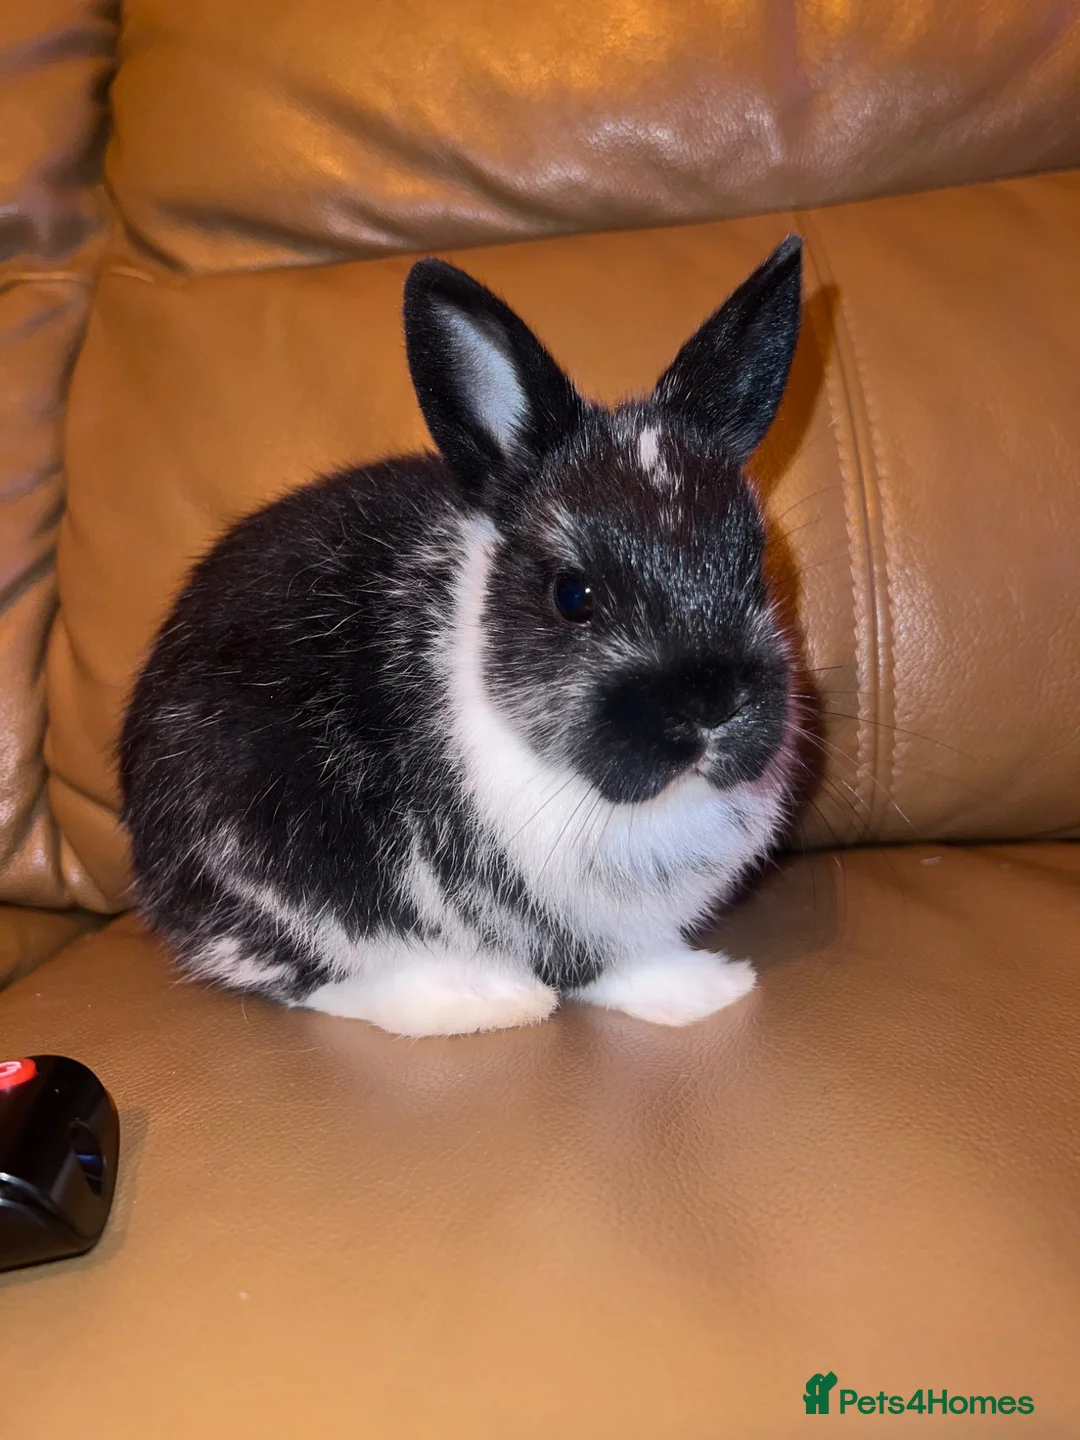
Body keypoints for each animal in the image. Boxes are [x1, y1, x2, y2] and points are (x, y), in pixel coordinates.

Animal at [119, 236, 804, 1038]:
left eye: (753, 563)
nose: (711, 705)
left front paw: (708, 989)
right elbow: (597, 963)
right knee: (315, 974)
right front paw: (699, 993)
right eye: (573, 596)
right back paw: (480, 1000)